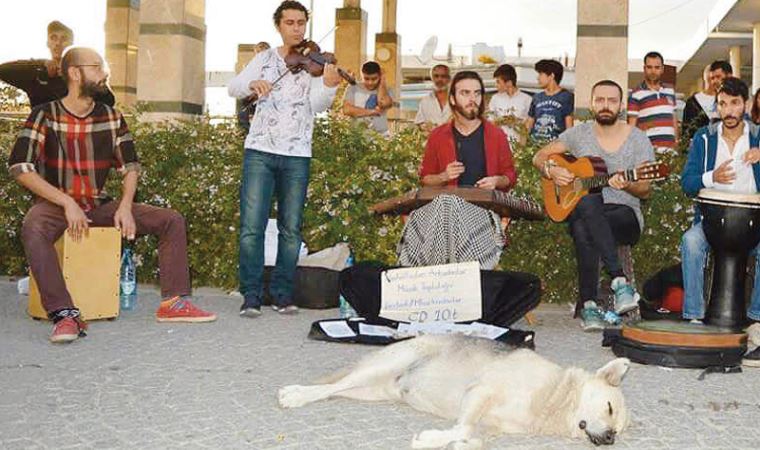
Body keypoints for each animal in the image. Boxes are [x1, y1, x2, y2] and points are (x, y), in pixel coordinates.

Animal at [278, 334, 628, 446]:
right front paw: (431, 440)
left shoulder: (489, 426)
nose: (611, 438)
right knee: (331, 386)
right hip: (383, 366)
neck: (554, 397)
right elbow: (462, 427)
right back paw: (295, 394)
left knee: (333, 390)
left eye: (619, 430)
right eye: (610, 408)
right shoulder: (480, 392)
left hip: (370, 390)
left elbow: (471, 437)